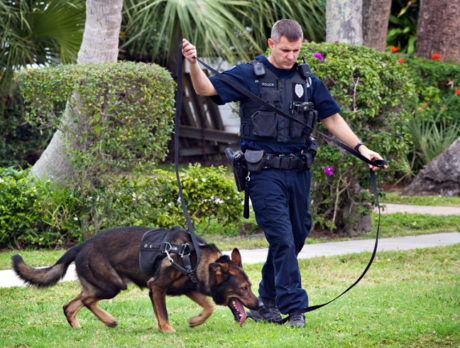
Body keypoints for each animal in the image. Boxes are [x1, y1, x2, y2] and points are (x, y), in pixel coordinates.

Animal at [12, 227, 260, 334]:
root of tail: (80, 246)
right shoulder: (156, 287)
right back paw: (104, 320)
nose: (260, 305)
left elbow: (208, 306)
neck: (194, 256)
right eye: (244, 288)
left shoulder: (189, 288)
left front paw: (195, 321)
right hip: (111, 285)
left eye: (250, 287)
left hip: (103, 285)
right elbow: (163, 314)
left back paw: (88, 325)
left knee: (74, 303)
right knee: (82, 301)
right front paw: (167, 330)